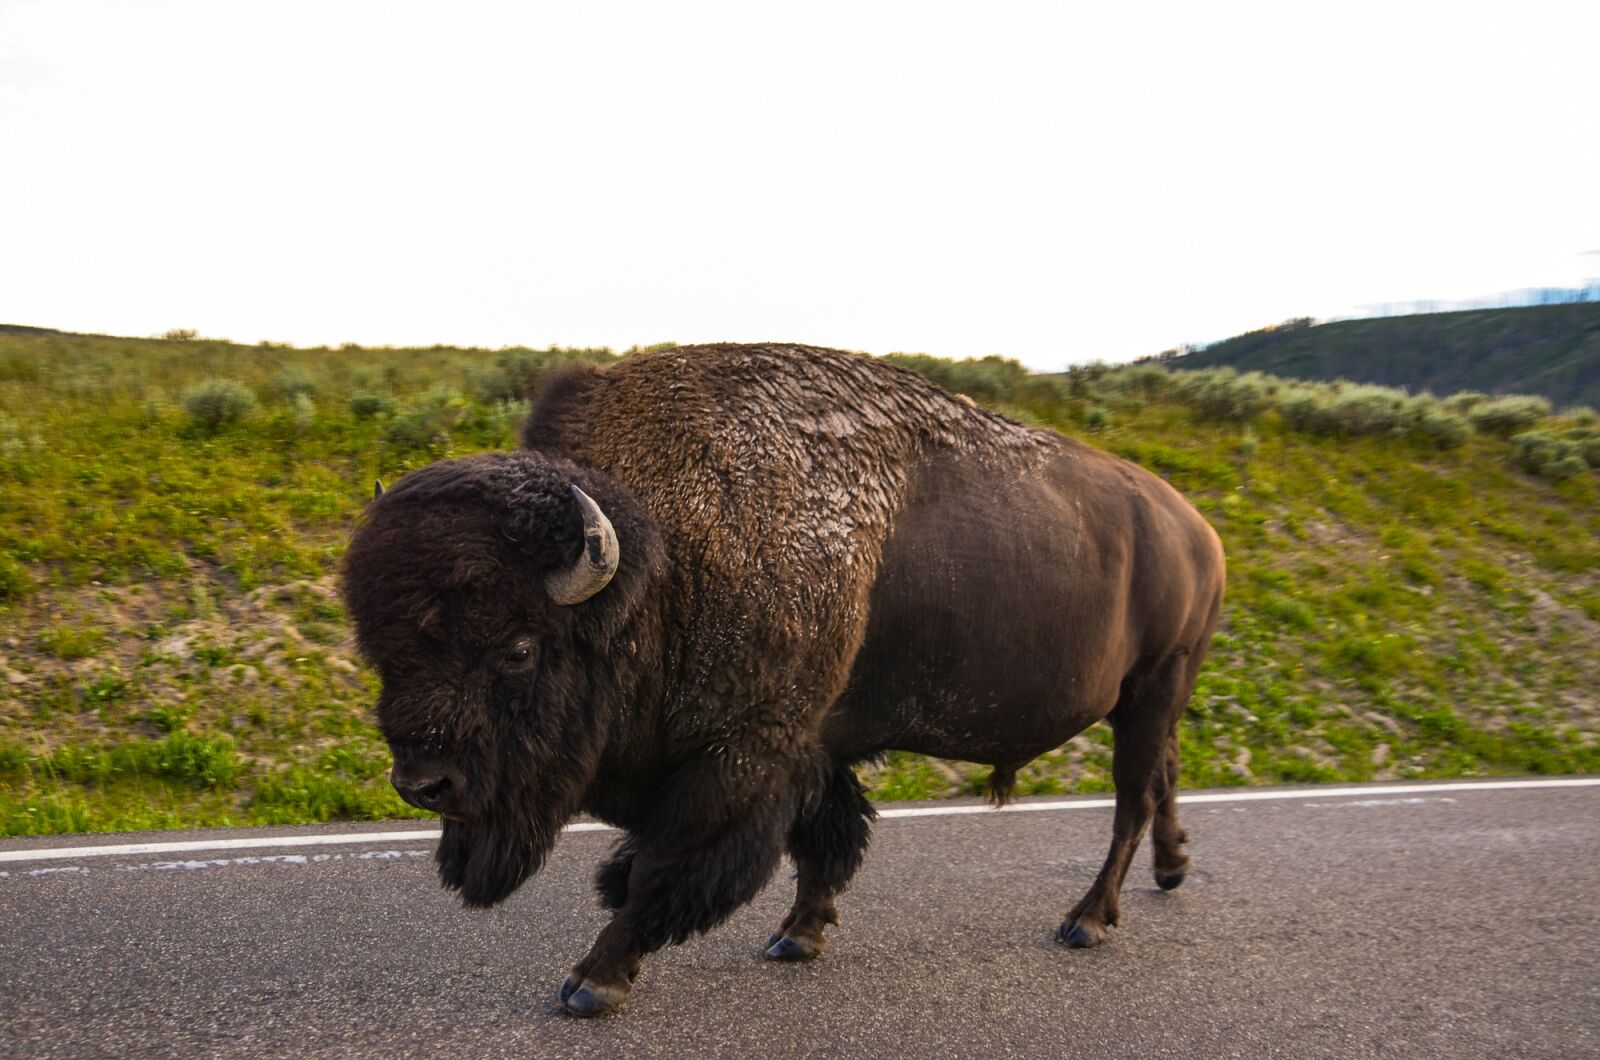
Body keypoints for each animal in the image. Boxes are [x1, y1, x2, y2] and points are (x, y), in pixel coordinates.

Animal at [342, 343, 1225, 1017]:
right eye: (382, 646)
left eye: (520, 649)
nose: (423, 783)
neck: (669, 562)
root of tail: (1198, 528)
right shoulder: (812, 744)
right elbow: (825, 838)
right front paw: (798, 934)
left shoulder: (743, 755)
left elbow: (665, 865)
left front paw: (593, 982)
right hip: (1154, 697)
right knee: (1164, 775)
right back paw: (1172, 870)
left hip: (1153, 685)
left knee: (1131, 799)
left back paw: (1087, 921)